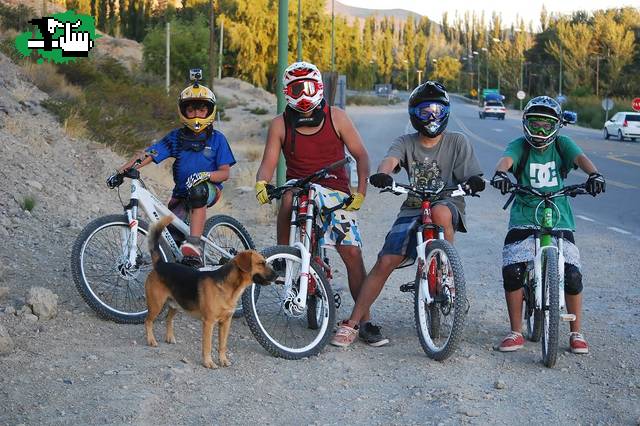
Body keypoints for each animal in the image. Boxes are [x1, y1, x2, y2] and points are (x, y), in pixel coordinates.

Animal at [144, 216, 276, 370]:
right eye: (261, 263)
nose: (278, 274)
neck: (229, 288)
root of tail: (160, 264)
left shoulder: (226, 323)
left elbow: (222, 345)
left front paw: (223, 360)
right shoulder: (209, 323)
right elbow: (207, 345)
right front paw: (208, 362)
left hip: (176, 304)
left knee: (168, 319)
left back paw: (169, 337)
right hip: (156, 305)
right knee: (148, 321)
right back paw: (151, 340)